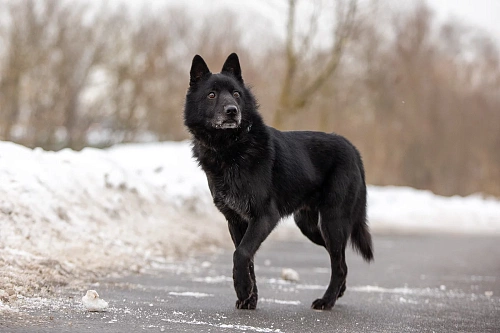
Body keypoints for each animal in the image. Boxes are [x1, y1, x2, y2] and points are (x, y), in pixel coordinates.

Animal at [183, 53, 372, 310]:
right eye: (211, 95)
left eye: (236, 94)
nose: (232, 111)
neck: (231, 149)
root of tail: (353, 149)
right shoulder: (236, 221)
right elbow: (248, 259)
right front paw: (249, 298)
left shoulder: (264, 216)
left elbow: (241, 254)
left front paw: (243, 290)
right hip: (310, 226)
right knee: (340, 260)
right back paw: (338, 292)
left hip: (332, 221)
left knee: (339, 264)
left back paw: (326, 301)